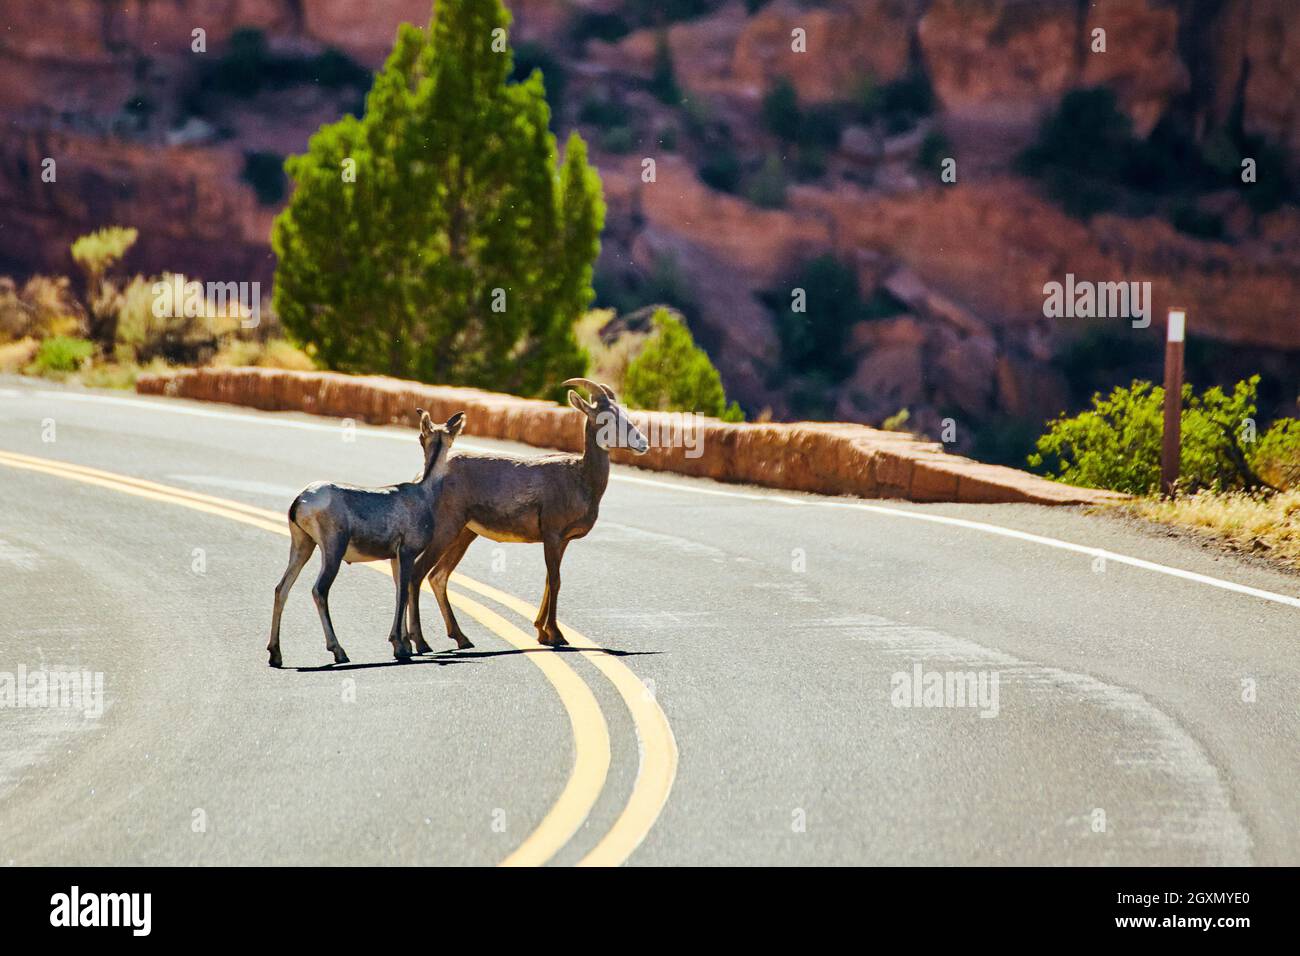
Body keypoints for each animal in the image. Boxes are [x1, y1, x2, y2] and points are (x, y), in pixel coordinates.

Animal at [265, 405, 467, 665]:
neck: (425, 494)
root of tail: (300, 501)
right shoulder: (407, 552)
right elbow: (403, 593)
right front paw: (400, 648)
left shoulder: (394, 557)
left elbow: (398, 592)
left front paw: (403, 645)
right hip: (333, 548)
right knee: (319, 590)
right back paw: (339, 651)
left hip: (302, 546)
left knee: (281, 588)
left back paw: (276, 655)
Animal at [408, 382, 647, 650]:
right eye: (607, 418)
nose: (643, 443)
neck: (582, 478)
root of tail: (424, 478)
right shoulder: (552, 536)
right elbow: (555, 581)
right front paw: (557, 635)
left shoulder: (562, 541)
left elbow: (549, 581)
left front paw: (542, 633)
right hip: (446, 531)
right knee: (418, 573)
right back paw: (421, 643)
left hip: (464, 535)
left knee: (438, 576)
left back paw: (462, 639)